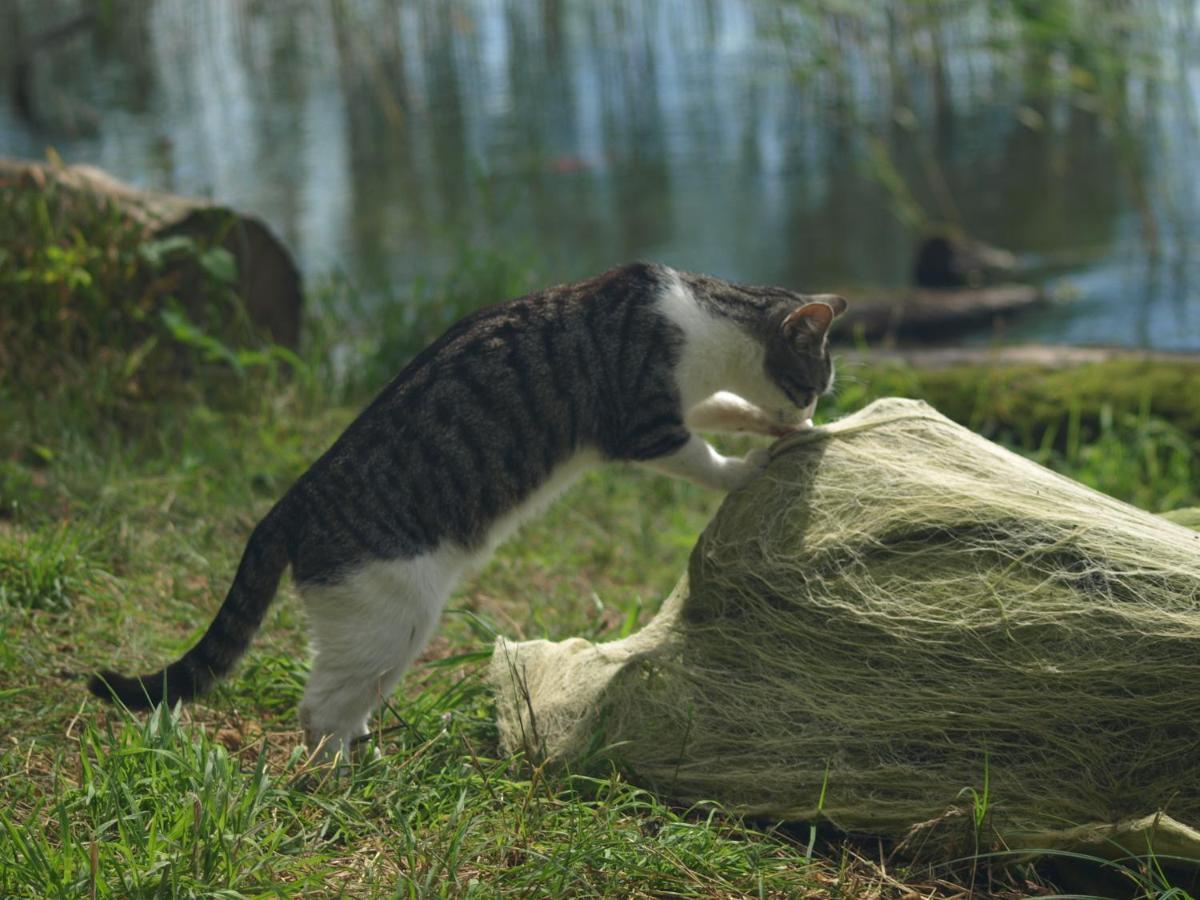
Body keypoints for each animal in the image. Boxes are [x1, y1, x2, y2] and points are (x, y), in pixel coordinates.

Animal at [88, 262, 849, 763]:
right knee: (318, 709)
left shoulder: (682, 405)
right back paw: (344, 775)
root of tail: (288, 505)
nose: (810, 408)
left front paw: (769, 427)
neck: (699, 317)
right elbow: (704, 455)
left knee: (341, 696)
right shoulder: (643, 426)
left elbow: (722, 407)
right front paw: (749, 466)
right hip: (390, 616)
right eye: (811, 381)